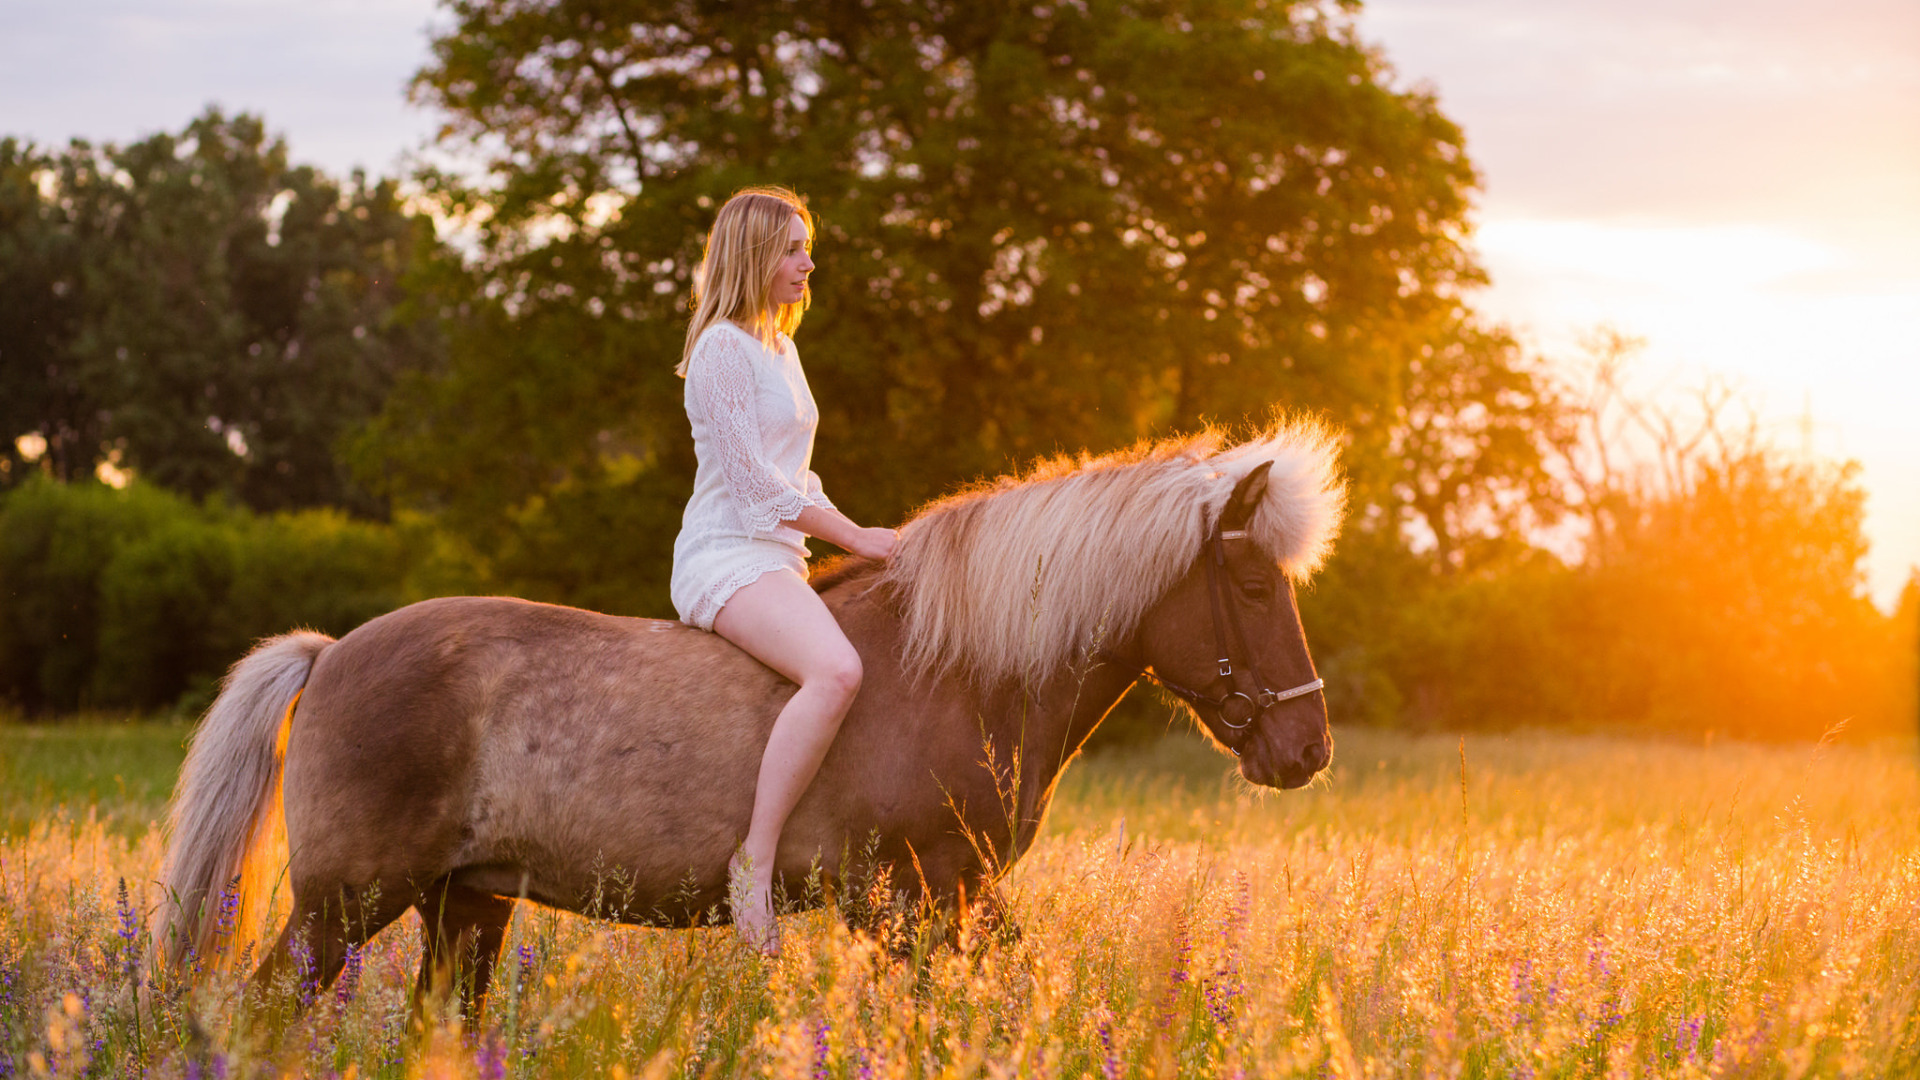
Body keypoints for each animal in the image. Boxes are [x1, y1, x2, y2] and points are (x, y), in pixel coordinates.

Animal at [153, 417, 1351, 1006]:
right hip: (342, 908)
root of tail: (332, 654)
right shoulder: (908, 900)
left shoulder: (962, 900)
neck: (958, 672)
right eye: (1253, 585)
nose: (1306, 748)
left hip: (466, 907)